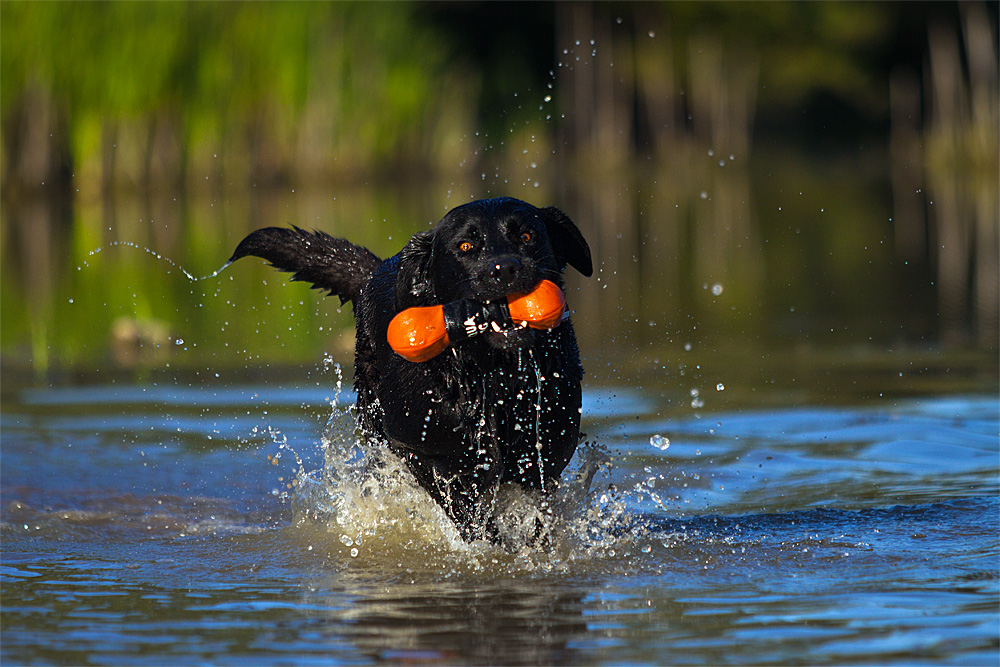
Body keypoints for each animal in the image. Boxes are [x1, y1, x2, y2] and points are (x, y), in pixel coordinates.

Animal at [230, 198, 588, 544]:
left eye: (527, 236)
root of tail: (376, 271)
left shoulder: (546, 458)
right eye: (466, 246)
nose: (506, 269)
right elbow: (466, 511)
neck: (493, 376)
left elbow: (537, 515)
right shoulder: (415, 449)